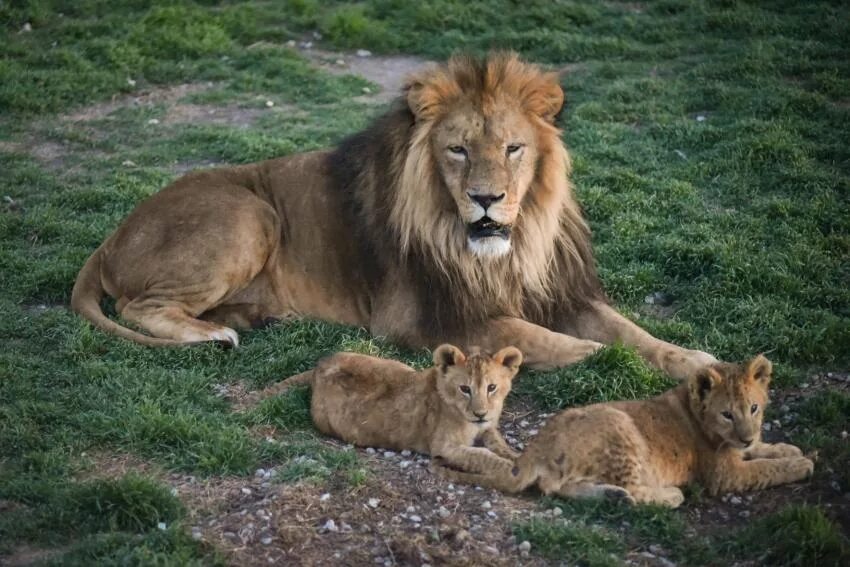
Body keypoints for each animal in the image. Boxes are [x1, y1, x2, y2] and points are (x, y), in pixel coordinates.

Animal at [73, 53, 712, 380]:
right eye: (457, 150)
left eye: (512, 148)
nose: (486, 199)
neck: (504, 250)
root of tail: (111, 236)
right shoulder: (428, 315)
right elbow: (533, 336)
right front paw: (602, 359)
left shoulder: (561, 290)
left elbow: (632, 330)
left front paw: (694, 360)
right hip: (250, 214)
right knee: (139, 306)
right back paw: (212, 334)